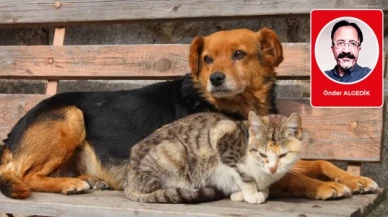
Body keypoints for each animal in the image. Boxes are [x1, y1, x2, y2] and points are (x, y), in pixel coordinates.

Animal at [124, 111, 304, 204]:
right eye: (262, 154)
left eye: (283, 155)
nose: (273, 168)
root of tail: (127, 181)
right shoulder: (222, 135)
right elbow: (244, 177)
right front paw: (252, 194)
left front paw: (255, 191)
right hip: (173, 151)